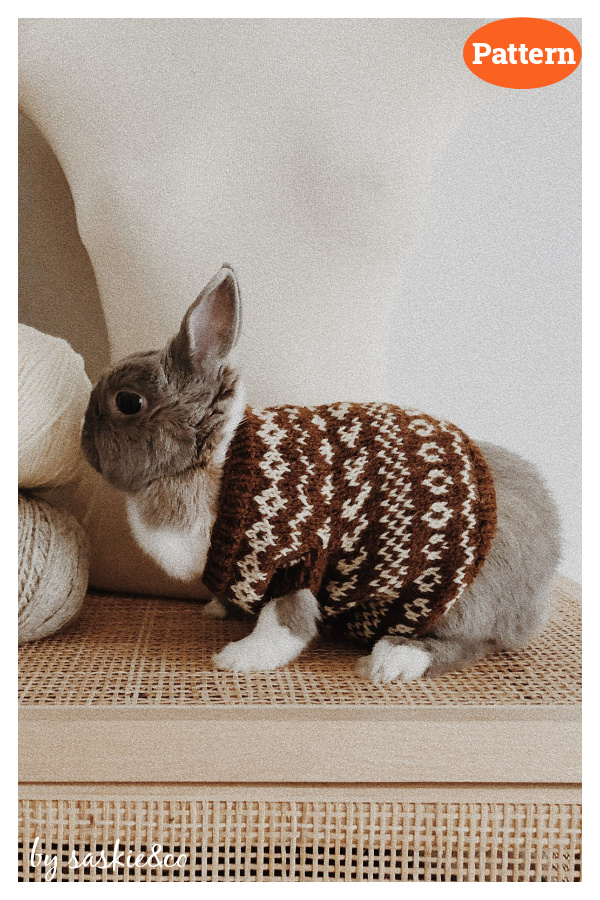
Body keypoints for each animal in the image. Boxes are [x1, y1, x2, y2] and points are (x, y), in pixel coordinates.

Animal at [81, 264, 561, 682]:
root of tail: (540, 587)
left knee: (474, 645)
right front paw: (218, 610)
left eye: (128, 402)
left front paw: (239, 659)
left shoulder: (294, 563)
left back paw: (392, 661)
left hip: (450, 602)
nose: (83, 442)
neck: (218, 459)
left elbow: (284, 625)